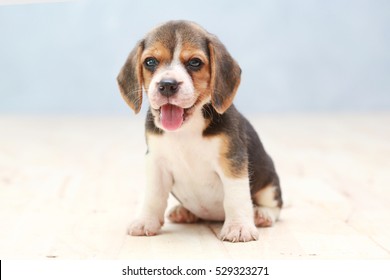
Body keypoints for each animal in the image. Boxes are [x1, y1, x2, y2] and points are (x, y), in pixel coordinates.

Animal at [117, 20, 282, 243]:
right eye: (150, 62)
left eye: (195, 62)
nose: (167, 85)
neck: (186, 128)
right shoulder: (156, 162)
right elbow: (153, 195)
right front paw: (145, 221)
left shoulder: (232, 160)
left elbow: (236, 197)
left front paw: (239, 227)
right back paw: (183, 211)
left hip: (270, 183)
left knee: (275, 207)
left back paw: (261, 214)